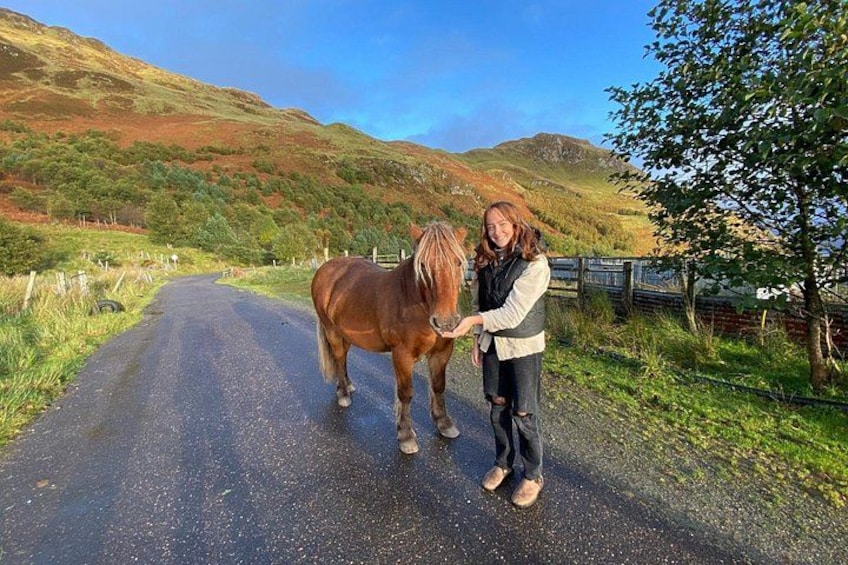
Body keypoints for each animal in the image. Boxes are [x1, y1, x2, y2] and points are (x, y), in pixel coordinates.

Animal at [311, 222, 468, 454]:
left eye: (458, 262)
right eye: (423, 265)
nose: (445, 322)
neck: (416, 304)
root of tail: (325, 269)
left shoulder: (441, 353)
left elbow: (439, 386)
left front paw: (444, 423)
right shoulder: (402, 355)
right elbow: (406, 393)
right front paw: (405, 436)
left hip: (345, 334)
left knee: (343, 359)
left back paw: (348, 385)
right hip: (332, 332)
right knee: (338, 358)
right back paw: (343, 394)